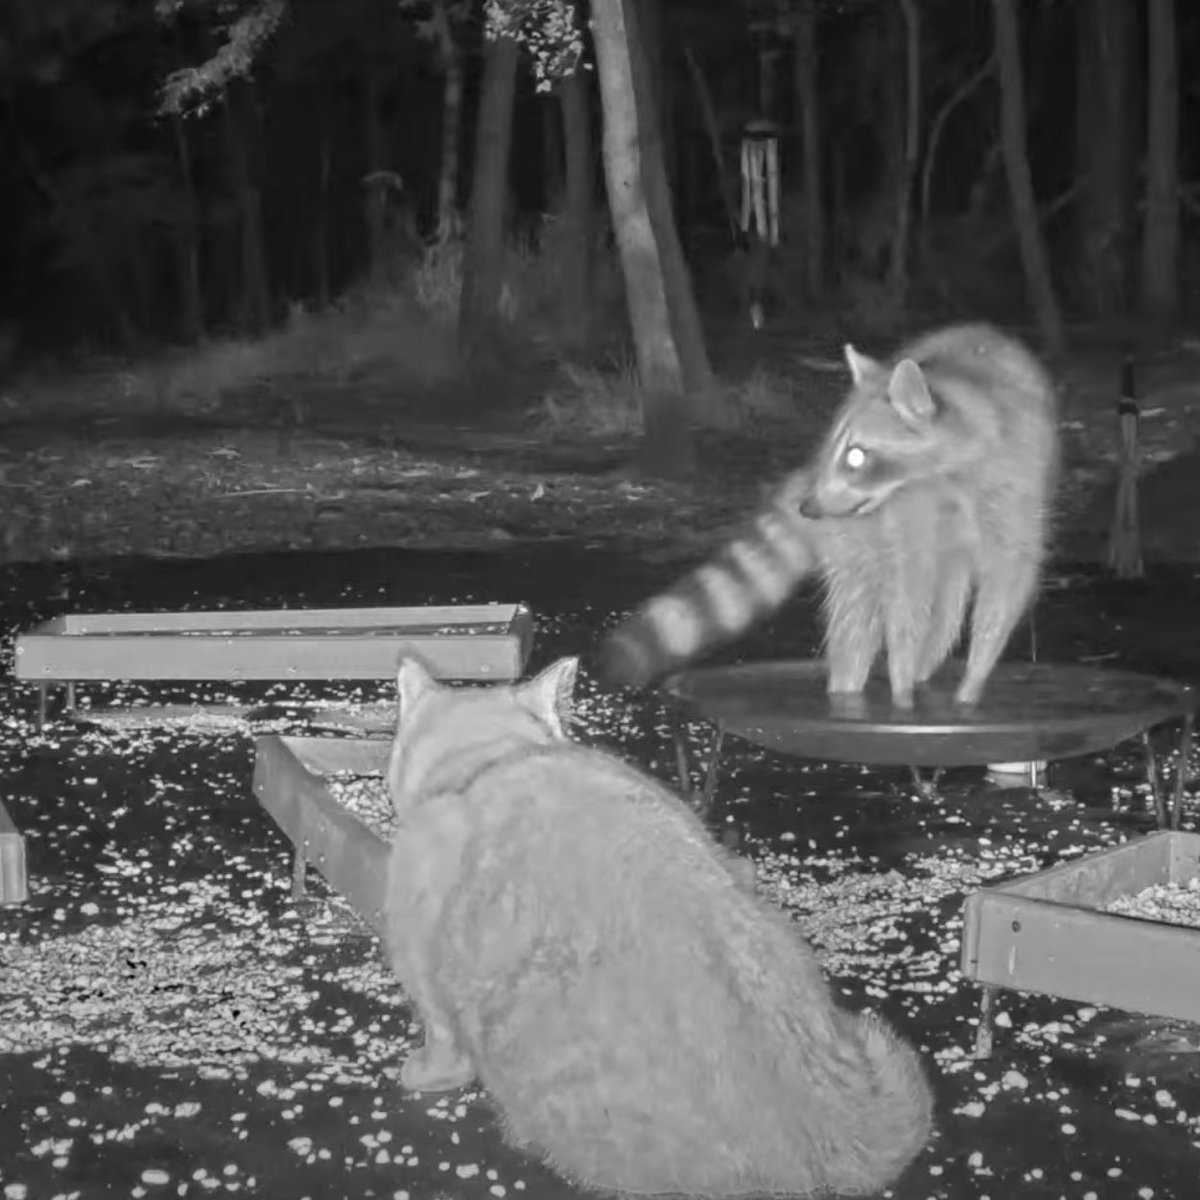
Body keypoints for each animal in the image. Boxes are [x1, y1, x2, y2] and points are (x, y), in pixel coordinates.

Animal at [599, 322, 1059, 709]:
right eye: (837, 447)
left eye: (856, 455)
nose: (808, 507)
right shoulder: (905, 516)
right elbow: (904, 595)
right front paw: (903, 684)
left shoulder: (1012, 485)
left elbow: (1007, 583)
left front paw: (971, 683)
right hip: (856, 535)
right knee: (857, 609)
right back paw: (850, 690)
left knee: (945, 604)